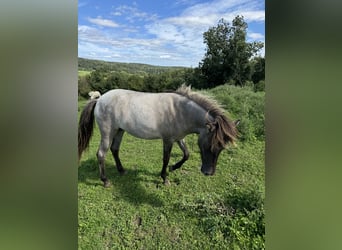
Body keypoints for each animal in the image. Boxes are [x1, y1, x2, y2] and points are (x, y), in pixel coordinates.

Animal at [78, 85, 239, 187]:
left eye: (221, 148)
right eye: (209, 145)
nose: (208, 173)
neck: (180, 111)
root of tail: (99, 100)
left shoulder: (179, 138)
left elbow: (186, 154)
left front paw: (173, 168)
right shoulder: (168, 140)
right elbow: (166, 158)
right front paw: (164, 178)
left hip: (119, 131)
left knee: (114, 149)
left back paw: (121, 170)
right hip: (108, 132)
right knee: (101, 153)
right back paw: (105, 181)